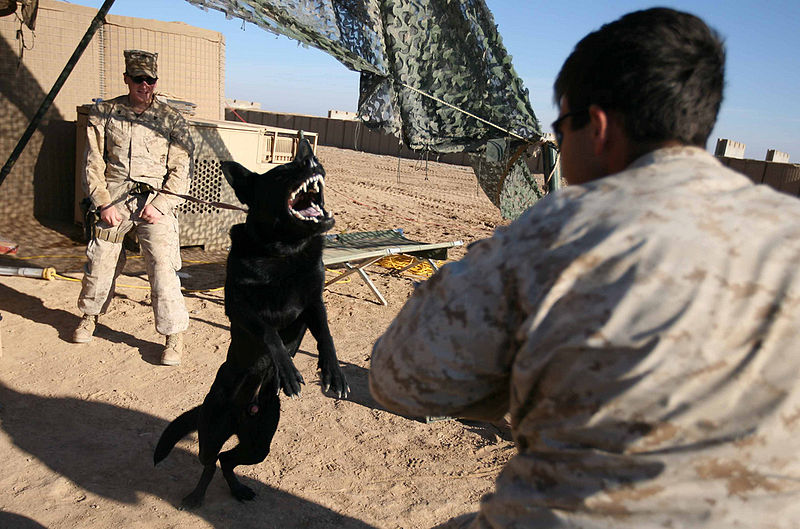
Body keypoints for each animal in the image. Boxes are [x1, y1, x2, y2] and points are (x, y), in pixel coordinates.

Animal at [153, 137, 346, 508]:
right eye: (283, 171)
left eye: (305, 160)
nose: (311, 160)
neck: (285, 252)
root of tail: (245, 411)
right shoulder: (240, 307)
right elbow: (270, 333)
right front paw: (288, 370)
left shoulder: (313, 303)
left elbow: (326, 336)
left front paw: (333, 372)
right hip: (213, 431)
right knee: (210, 461)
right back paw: (196, 496)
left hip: (259, 443)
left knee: (228, 460)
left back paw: (239, 489)